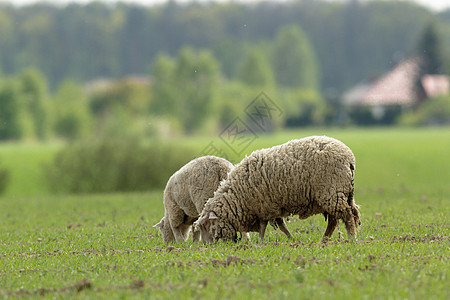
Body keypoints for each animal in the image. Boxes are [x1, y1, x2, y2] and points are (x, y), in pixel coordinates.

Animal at [194, 135, 362, 243]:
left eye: (207, 226)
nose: (206, 247)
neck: (237, 195)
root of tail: (349, 157)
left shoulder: (263, 206)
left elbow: (266, 227)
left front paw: (261, 242)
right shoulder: (269, 206)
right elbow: (280, 225)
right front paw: (290, 239)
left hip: (331, 192)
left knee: (347, 215)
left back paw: (351, 238)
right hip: (338, 193)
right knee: (340, 217)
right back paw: (325, 240)